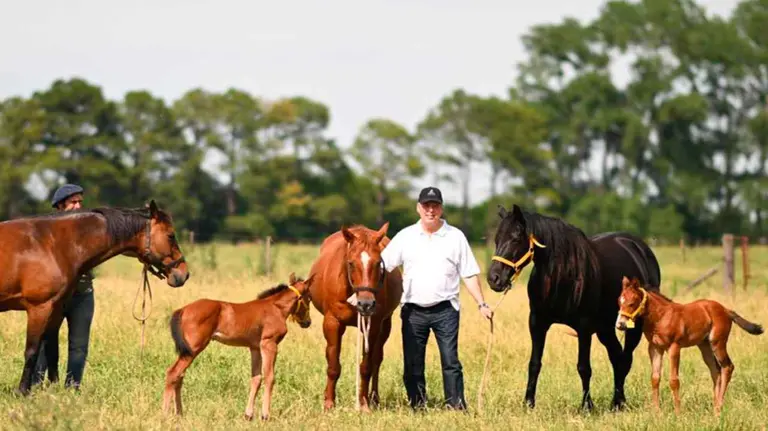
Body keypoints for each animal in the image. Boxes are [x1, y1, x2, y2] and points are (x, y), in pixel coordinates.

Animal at [0, 200, 189, 395]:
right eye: (171, 235)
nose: (184, 273)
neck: (51, 244)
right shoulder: (39, 308)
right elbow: (31, 351)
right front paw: (23, 391)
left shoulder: (56, 309)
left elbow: (52, 351)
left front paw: (53, 391)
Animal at [162, 272, 314, 421]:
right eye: (309, 298)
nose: (307, 322)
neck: (276, 308)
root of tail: (183, 309)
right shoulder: (269, 344)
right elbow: (269, 377)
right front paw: (265, 416)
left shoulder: (255, 348)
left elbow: (256, 378)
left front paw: (248, 415)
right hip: (193, 349)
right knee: (173, 373)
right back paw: (165, 414)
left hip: (187, 351)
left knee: (179, 376)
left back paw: (179, 413)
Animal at [307, 222, 403, 412]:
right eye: (351, 263)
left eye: (378, 263)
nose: (365, 304)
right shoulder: (332, 323)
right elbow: (333, 365)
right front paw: (329, 403)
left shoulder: (373, 325)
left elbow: (367, 366)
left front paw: (364, 404)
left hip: (385, 325)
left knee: (377, 360)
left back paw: (374, 398)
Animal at [485, 204, 662, 411]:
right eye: (497, 239)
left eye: (515, 238)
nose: (494, 279)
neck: (562, 274)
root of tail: (640, 248)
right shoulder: (537, 322)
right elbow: (534, 363)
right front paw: (528, 403)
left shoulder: (584, 327)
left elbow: (584, 367)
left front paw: (587, 406)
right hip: (605, 328)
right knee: (616, 357)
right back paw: (617, 402)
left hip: (633, 325)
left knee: (625, 359)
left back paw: (618, 403)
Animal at [616, 276, 763, 415]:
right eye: (619, 301)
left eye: (632, 303)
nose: (620, 325)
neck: (661, 317)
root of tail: (726, 310)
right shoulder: (655, 348)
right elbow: (655, 378)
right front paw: (657, 413)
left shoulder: (674, 347)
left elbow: (674, 380)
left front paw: (678, 414)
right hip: (705, 346)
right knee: (715, 371)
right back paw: (715, 408)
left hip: (717, 343)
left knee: (727, 367)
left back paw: (719, 408)